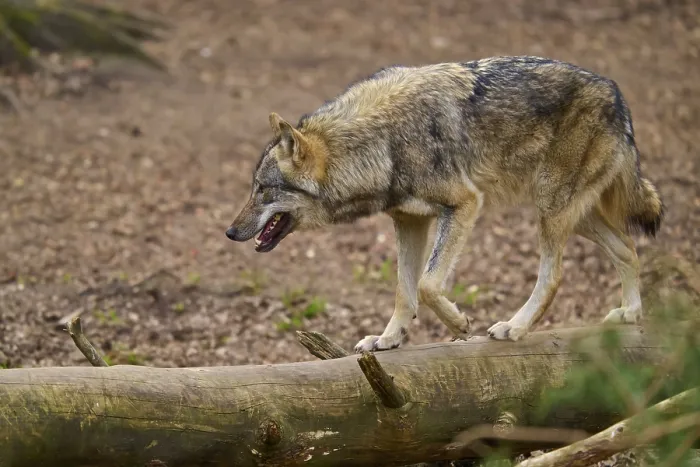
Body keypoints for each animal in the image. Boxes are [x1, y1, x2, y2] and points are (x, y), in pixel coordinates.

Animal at [225, 56, 663, 353]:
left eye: (263, 189)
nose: (229, 232)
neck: (382, 143)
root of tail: (616, 93)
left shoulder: (465, 204)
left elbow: (428, 284)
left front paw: (459, 324)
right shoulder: (409, 221)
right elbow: (404, 290)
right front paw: (389, 338)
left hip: (552, 210)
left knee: (554, 276)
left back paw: (515, 328)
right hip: (570, 213)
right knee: (628, 247)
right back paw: (631, 314)